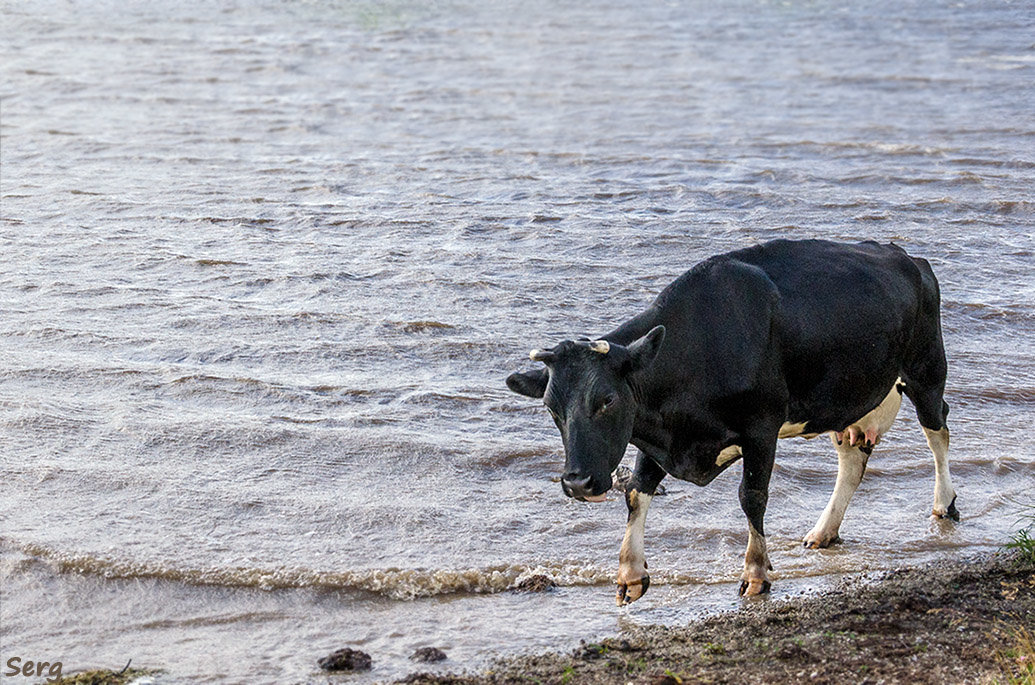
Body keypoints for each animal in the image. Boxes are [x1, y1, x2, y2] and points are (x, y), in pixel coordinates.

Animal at [505, 240, 956, 608]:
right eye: (552, 408)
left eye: (607, 400)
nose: (577, 483)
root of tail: (906, 257)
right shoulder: (656, 435)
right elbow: (636, 492)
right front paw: (630, 575)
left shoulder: (762, 428)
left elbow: (751, 497)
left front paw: (755, 574)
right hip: (850, 399)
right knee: (852, 459)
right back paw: (823, 531)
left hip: (926, 370)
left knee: (938, 431)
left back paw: (944, 503)